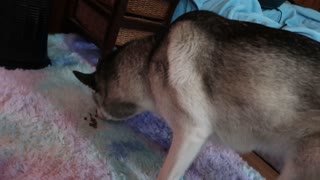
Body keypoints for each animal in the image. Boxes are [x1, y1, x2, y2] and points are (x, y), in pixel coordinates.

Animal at [74, 10, 320, 180]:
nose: (97, 113)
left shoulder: (192, 131)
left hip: (300, 167)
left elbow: (167, 173)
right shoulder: (196, 138)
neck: (151, 59)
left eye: (96, 98)